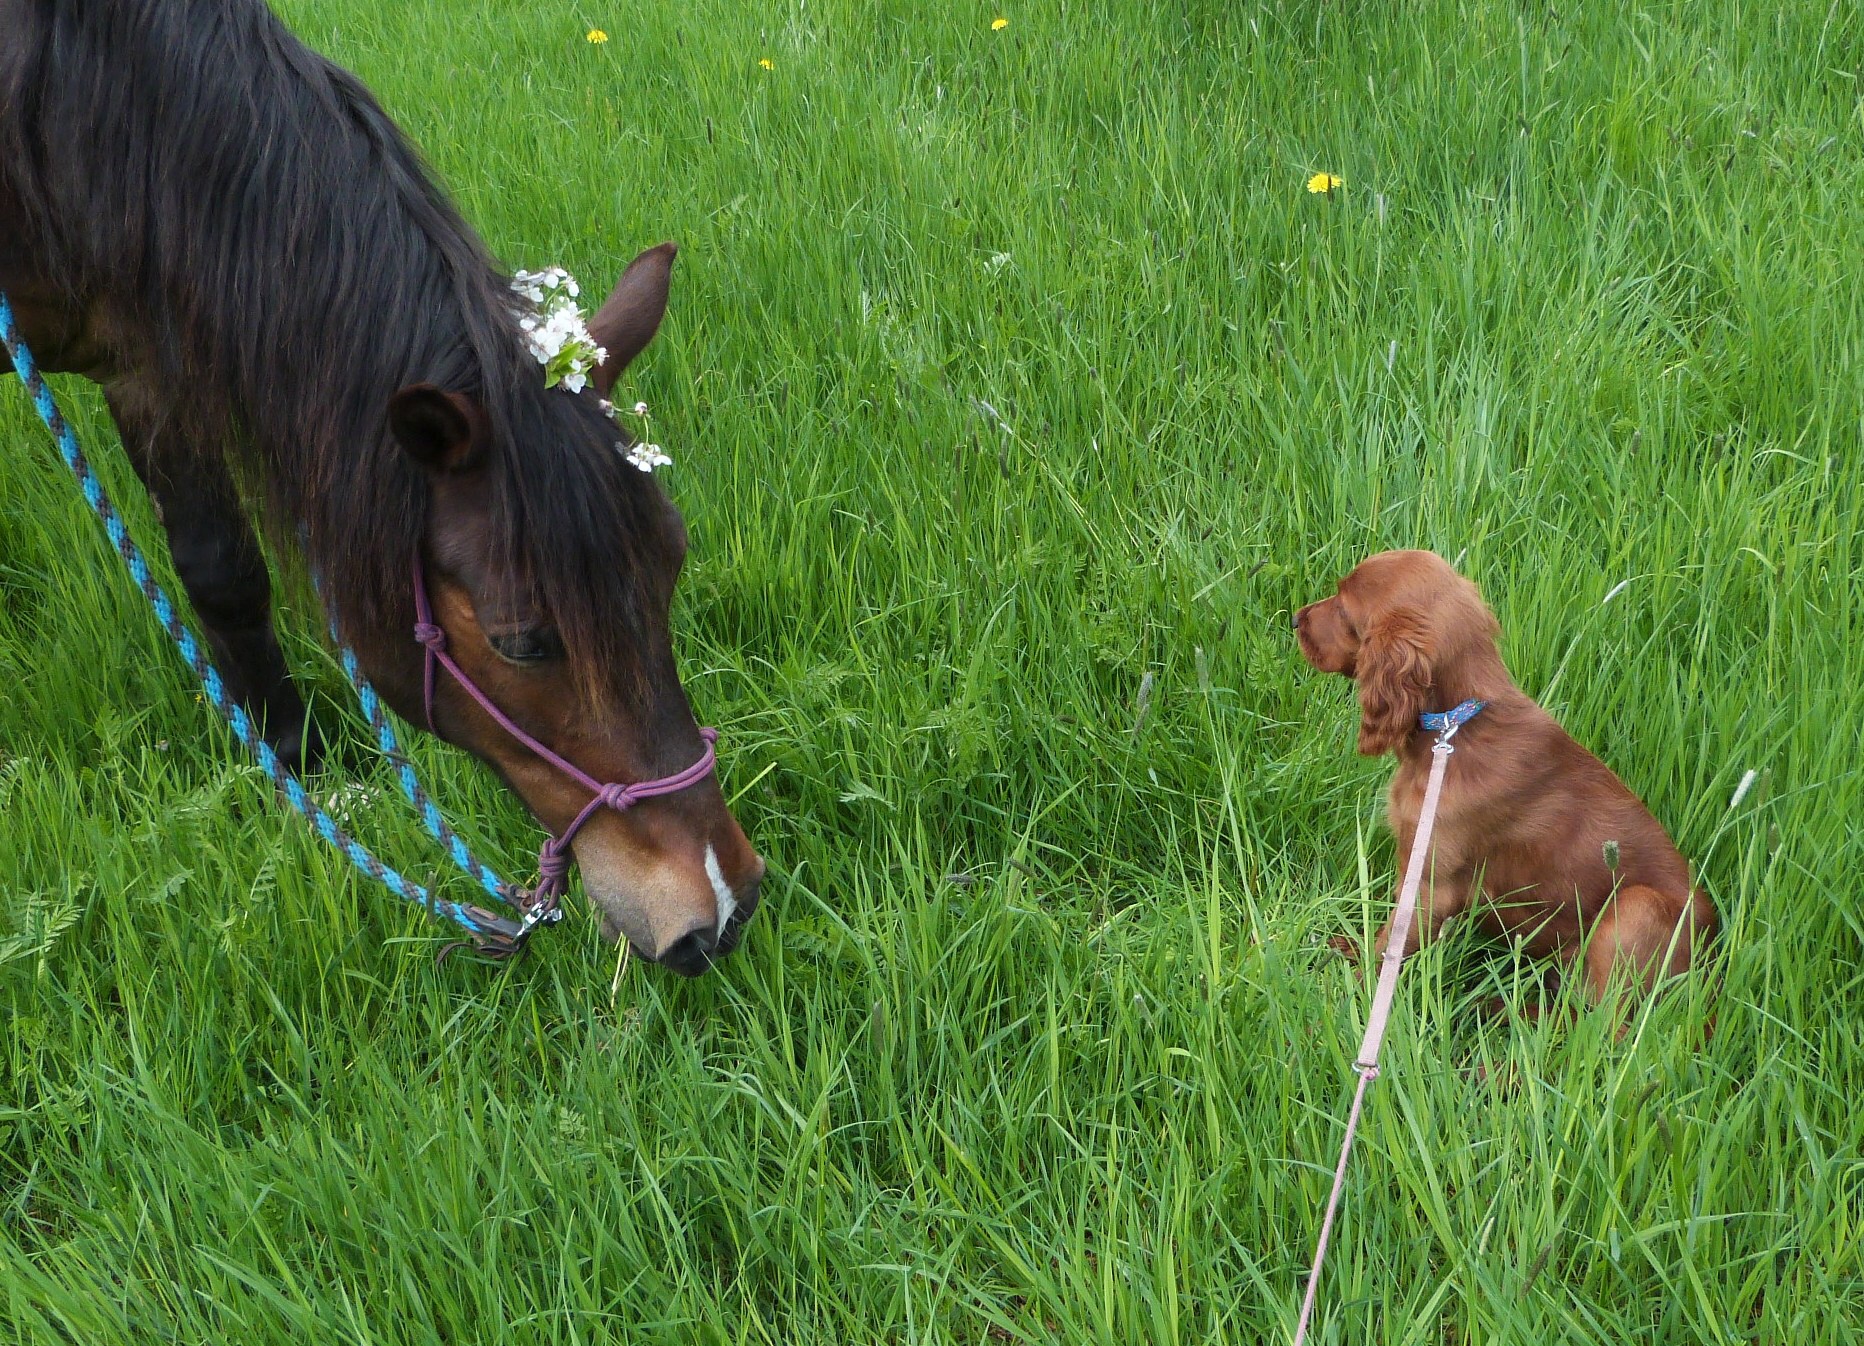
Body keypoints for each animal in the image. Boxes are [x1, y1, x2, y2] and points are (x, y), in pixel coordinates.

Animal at [0, 0, 764, 969]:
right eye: (521, 642)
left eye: (673, 564)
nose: (721, 905)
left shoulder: (151, 356)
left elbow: (223, 574)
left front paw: (292, 766)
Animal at [1297, 548, 1714, 1006]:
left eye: (1342, 608)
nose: (1296, 619)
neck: (1455, 728)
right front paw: (1346, 949)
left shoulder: (1431, 883)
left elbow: (1393, 942)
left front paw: (1353, 990)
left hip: (1634, 911)